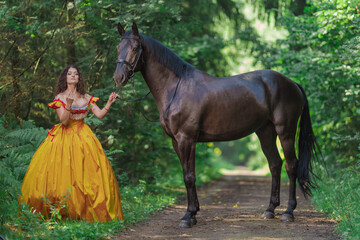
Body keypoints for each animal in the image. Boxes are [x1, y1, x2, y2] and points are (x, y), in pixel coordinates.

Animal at [114, 22, 320, 227]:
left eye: (135, 48)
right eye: (118, 47)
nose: (118, 77)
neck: (177, 88)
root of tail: (292, 83)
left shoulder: (186, 139)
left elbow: (189, 177)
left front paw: (188, 216)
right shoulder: (176, 142)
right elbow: (187, 174)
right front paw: (194, 213)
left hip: (286, 131)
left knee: (291, 166)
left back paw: (288, 212)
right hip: (266, 132)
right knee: (275, 164)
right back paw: (270, 210)